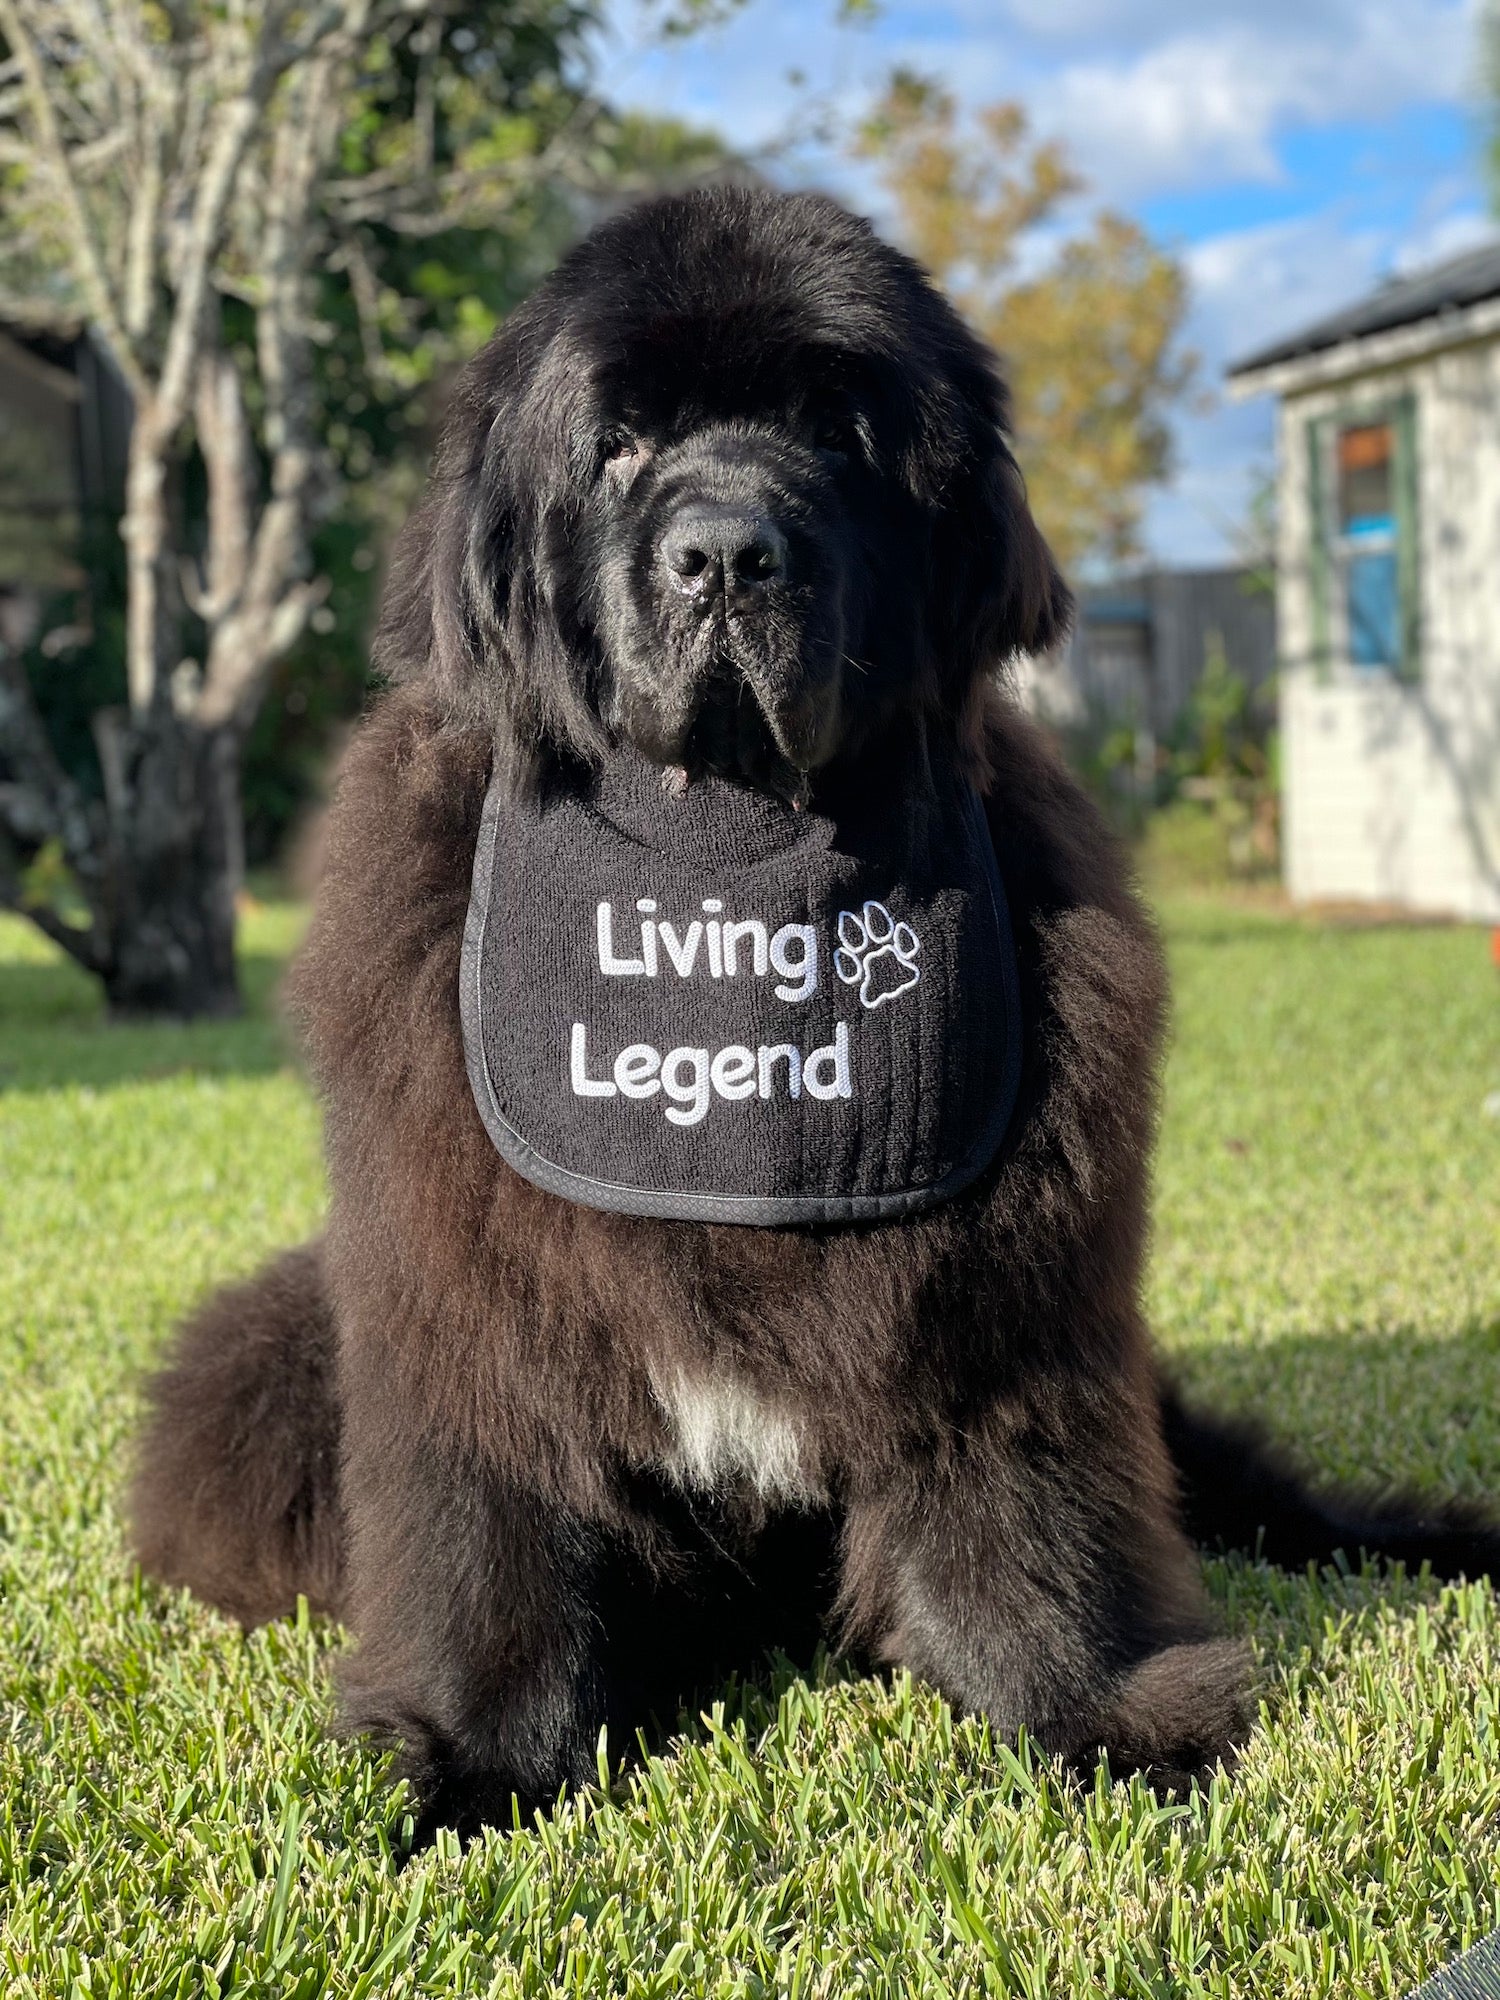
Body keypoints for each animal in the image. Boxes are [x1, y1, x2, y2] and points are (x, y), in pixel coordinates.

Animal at [129, 188, 1500, 1840]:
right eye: (619, 444)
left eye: (841, 431)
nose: (726, 551)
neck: (727, 866)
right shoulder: (472, 1304)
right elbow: (492, 1525)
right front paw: (473, 1761)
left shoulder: (1007, 1310)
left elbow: (1032, 1521)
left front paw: (1101, 1715)